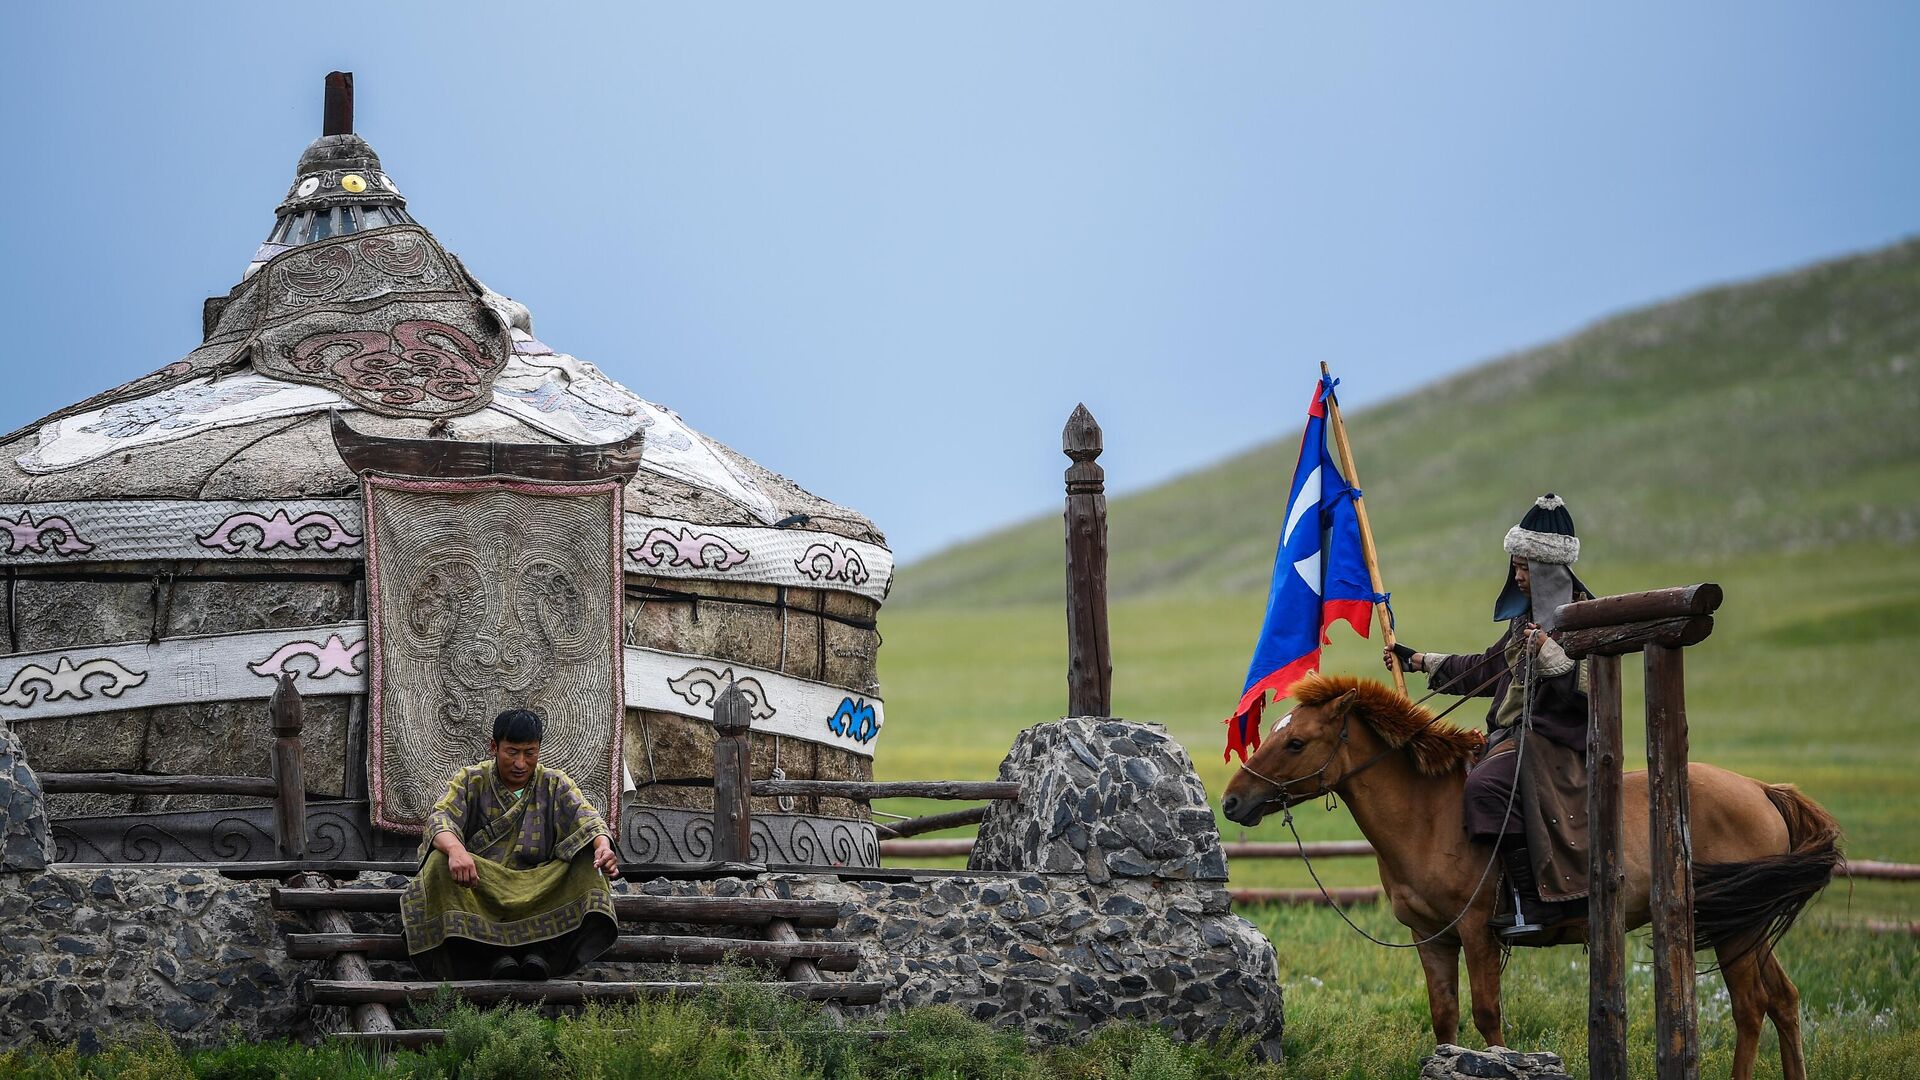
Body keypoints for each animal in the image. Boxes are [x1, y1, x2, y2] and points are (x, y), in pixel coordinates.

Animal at [1221, 672, 1835, 1076]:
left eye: (1295, 742)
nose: (1232, 802)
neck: (1428, 814)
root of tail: (1762, 790)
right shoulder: (1430, 936)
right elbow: (1444, 1016)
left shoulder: (1477, 932)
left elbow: (1488, 1016)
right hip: (1745, 923)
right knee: (1783, 999)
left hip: (1734, 928)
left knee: (1750, 1007)